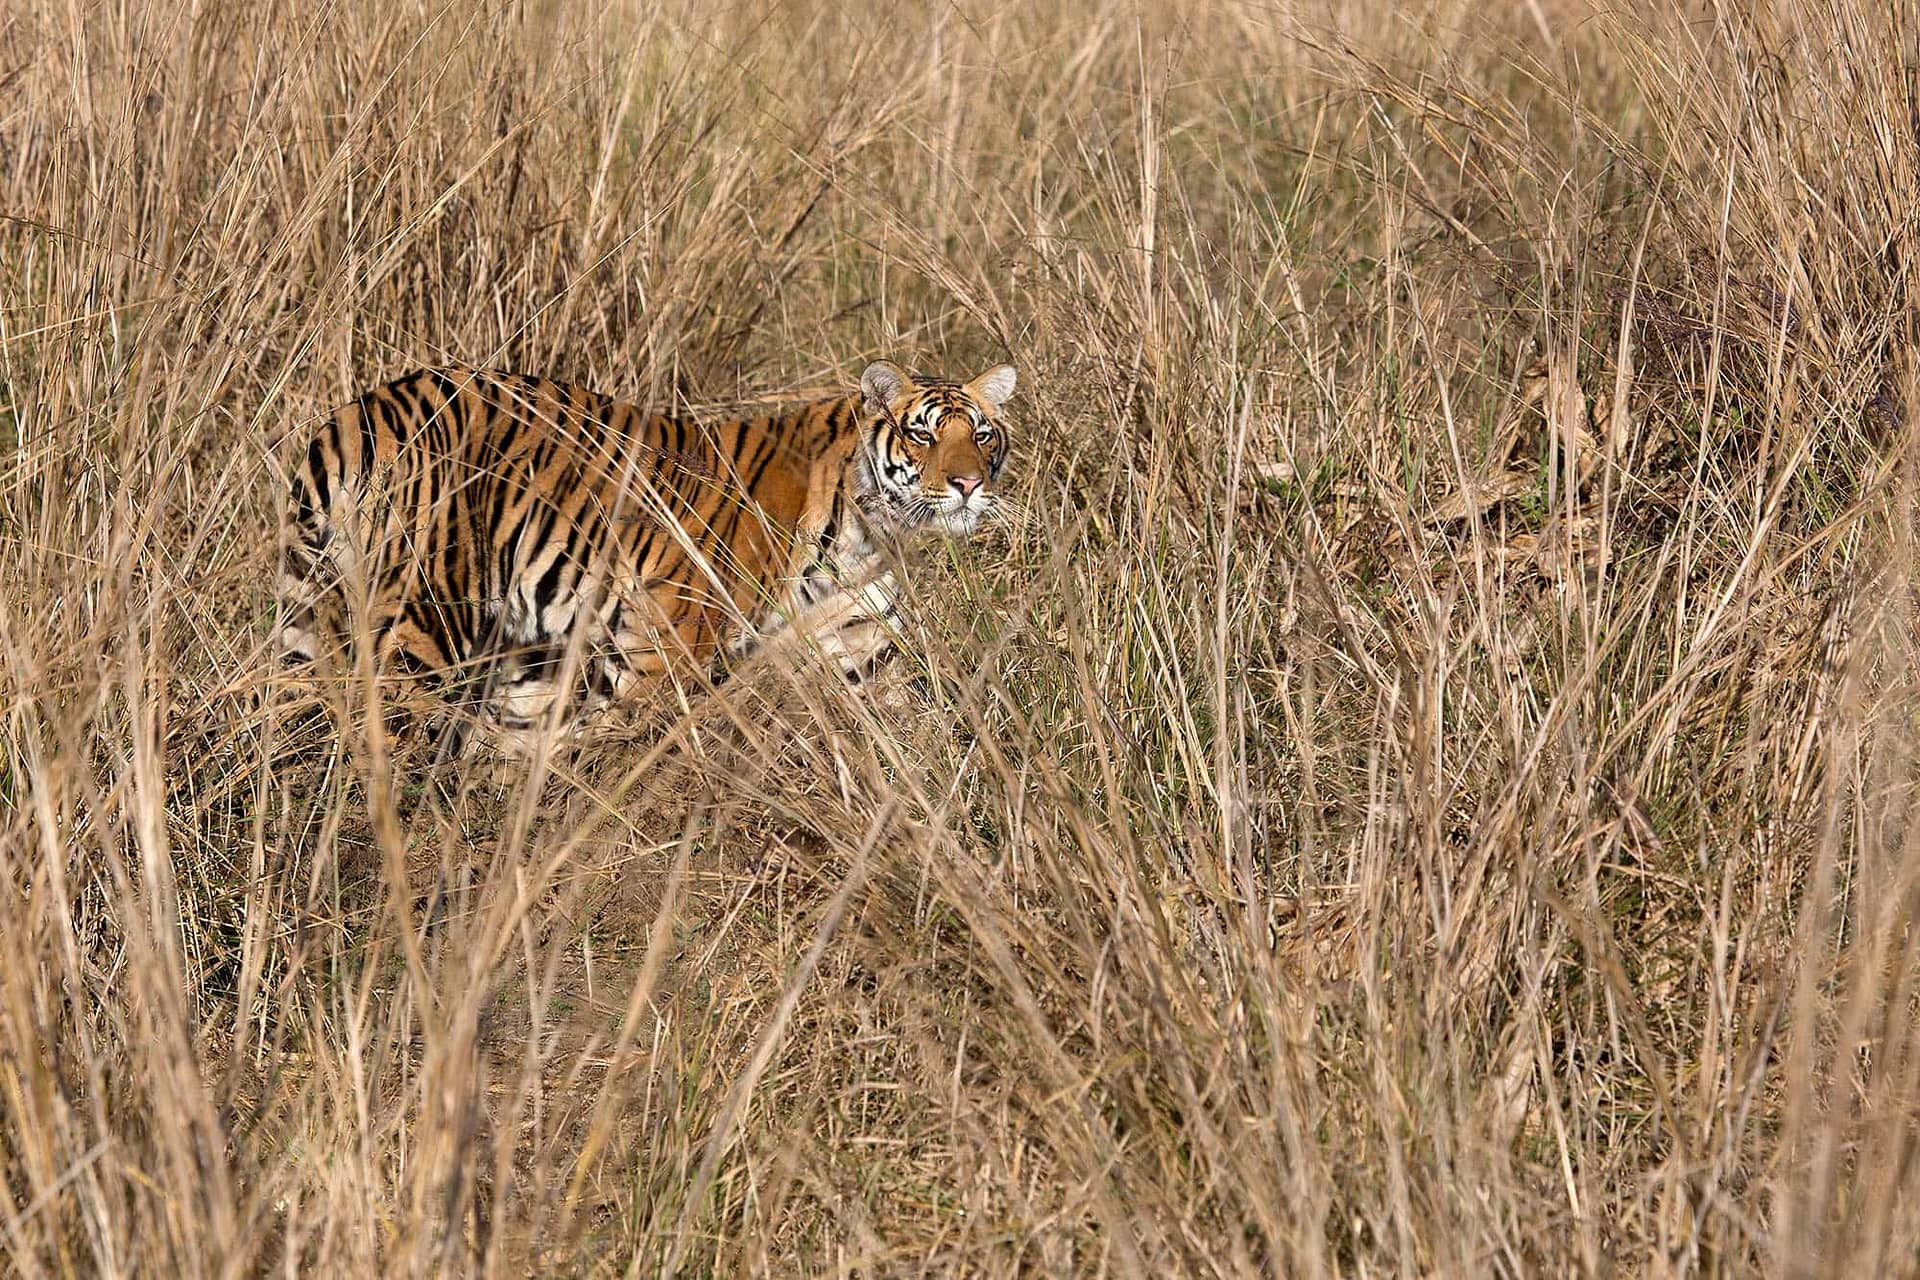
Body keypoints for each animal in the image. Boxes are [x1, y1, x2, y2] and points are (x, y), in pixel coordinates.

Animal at [280, 360, 1021, 740]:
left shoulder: (863, 649)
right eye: (924, 435)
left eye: (983, 435)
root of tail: (355, 414)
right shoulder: (664, 652)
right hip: (424, 616)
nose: (967, 484)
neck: (871, 532)